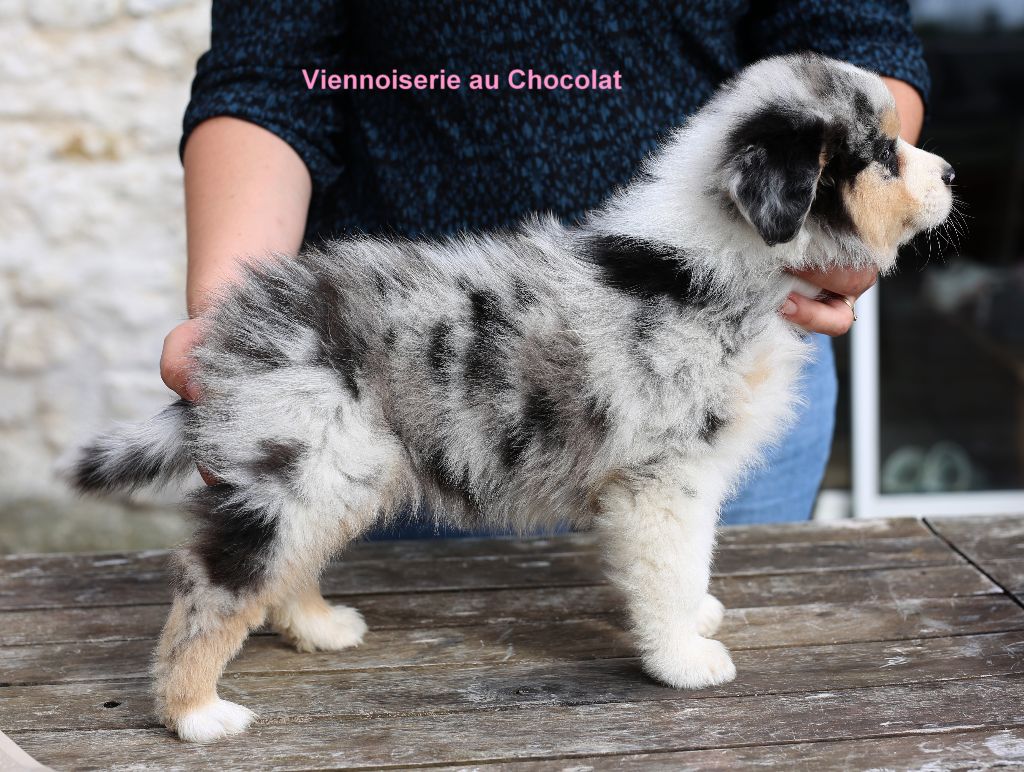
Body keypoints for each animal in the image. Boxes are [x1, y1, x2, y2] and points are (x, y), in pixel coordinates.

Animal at [69, 53, 955, 743]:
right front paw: (684, 658)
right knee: (213, 586)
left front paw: (699, 614)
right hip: (304, 465)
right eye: (881, 155)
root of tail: (238, 327)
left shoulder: (691, 476)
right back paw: (195, 712)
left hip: (335, 472)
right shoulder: (662, 478)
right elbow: (668, 568)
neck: (721, 265)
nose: (949, 173)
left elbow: (696, 556)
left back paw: (320, 627)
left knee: (286, 565)